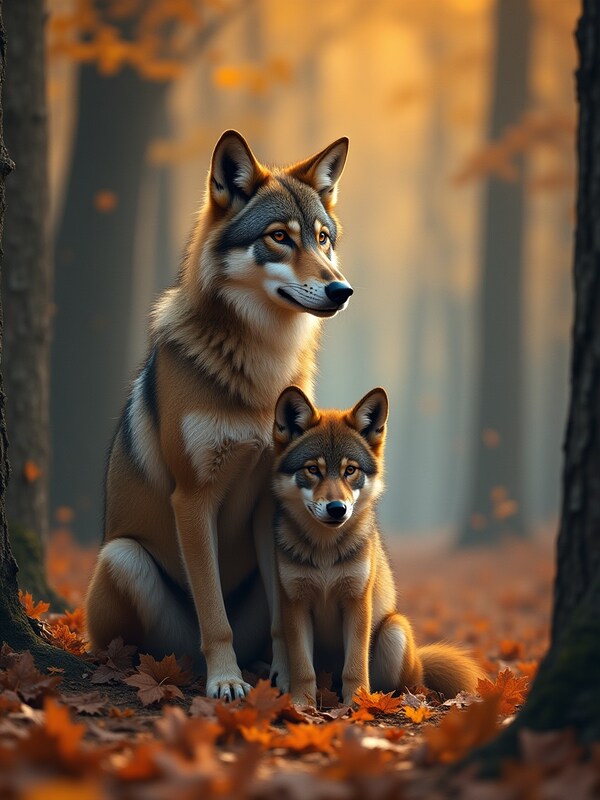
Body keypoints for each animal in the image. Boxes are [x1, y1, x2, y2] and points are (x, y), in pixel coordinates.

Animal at [85, 131, 353, 701]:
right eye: (279, 237)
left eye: (322, 238)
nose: (342, 290)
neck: (262, 373)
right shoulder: (193, 498)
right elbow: (214, 613)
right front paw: (226, 681)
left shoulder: (268, 503)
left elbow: (281, 619)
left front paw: (282, 678)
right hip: (123, 557)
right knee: (143, 644)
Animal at [271, 386, 483, 705]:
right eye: (313, 470)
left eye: (350, 470)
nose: (337, 509)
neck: (324, 552)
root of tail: (419, 663)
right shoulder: (295, 604)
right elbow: (302, 668)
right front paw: (300, 706)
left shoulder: (358, 602)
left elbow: (355, 667)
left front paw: (357, 706)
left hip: (394, 630)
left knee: (403, 686)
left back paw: (383, 699)